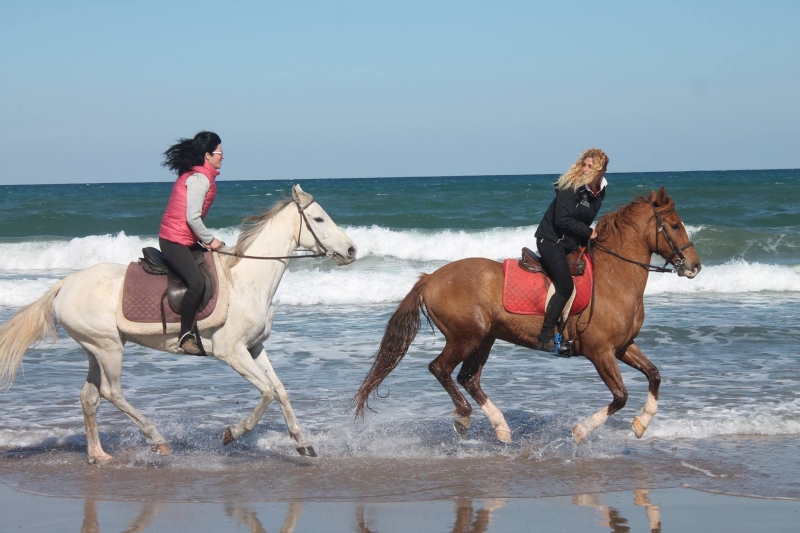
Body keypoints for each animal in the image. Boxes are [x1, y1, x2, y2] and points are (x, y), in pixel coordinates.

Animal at [0, 185, 356, 464]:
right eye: (319, 219)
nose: (352, 250)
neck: (245, 281)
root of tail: (65, 284)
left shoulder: (254, 347)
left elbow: (280, 390)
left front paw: (303, 443)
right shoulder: (231, 352)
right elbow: (267, 392)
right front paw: (232, 433)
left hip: (94, 348)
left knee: (90, 397)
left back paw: (98, 455)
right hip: (108, 347)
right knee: (111, 392)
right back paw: (156, 439)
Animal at [354, 188, 700, 444]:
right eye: (674, 226)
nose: (694, 266)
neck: (615, 277)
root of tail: (429, 278)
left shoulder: (623, 347)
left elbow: (654, 374)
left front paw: (642, 423)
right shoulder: (600, 352)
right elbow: (620, 396)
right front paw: (581, 430)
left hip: (486, 338)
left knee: (469, 378)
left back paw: (501, 427)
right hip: (469, 335)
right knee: (441, 369)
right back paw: (465, 417)